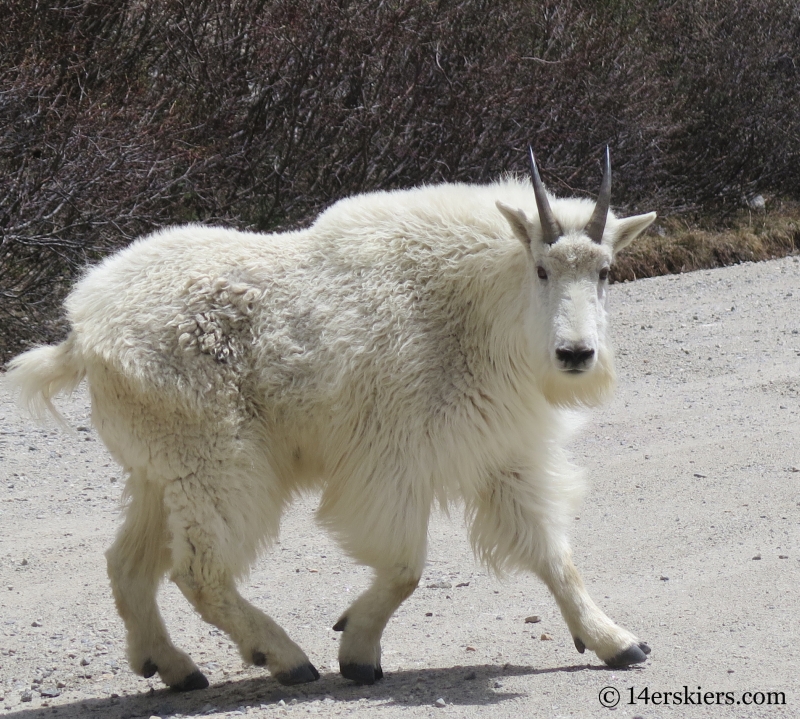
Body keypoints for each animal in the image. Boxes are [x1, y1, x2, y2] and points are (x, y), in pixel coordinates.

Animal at [6, 148, 656, 692]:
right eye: (542, 269)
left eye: (604, 271)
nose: (575, 355)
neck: (477, 308)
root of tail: (83, 331)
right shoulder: (392, 457)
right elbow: (405, 567)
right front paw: (358, 652)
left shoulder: (501, 453)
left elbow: (554, 556)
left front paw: (617, 642)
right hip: (218, 462)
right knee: (199, 571)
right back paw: (284, 657)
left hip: (159, 470)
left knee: (128, 563)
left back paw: (172, 666)